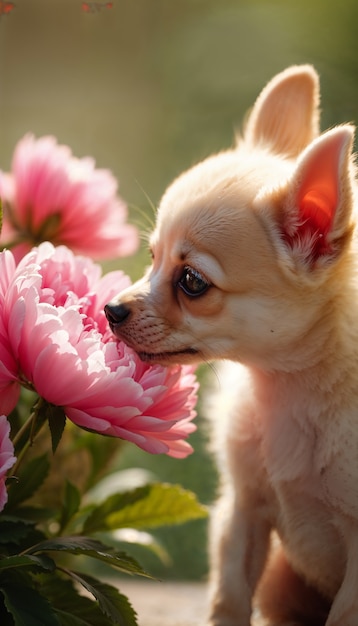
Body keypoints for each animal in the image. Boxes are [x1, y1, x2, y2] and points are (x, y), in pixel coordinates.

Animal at [105, 66, 358, 620]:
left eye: (192, 282)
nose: (110, 310)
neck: (286, 388)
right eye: (152, 257)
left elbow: (342, 616)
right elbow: (229, 597)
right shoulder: (241, 512)